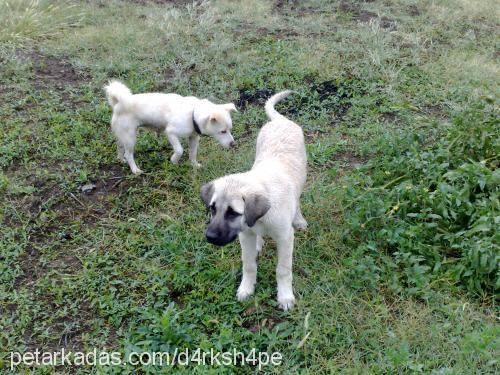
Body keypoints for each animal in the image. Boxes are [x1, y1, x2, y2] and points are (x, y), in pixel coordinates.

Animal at [104, 81, 236, 175]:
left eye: (230, 130)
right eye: (223, 131)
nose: (233, 144)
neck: (192, 113)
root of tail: (118, 104)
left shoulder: (193, 138)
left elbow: (193, 153)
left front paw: (194, 165)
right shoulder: (171, 133)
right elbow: (180, 150)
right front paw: (174, 160)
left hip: (124, 135)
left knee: (120, 146)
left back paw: (120, 159)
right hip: (131, 138)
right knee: (129, 154)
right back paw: (135, 170)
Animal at [201, 91, 306, 312]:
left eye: (233, 212)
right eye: (212, 209)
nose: (210, 237)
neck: (261, 219)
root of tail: (280, 120)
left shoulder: (285, 238)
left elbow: (283, 269)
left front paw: (285, 296)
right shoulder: (245, 235)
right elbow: (248, 264)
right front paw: (247, 288)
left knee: (298, 199)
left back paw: (299, 219)